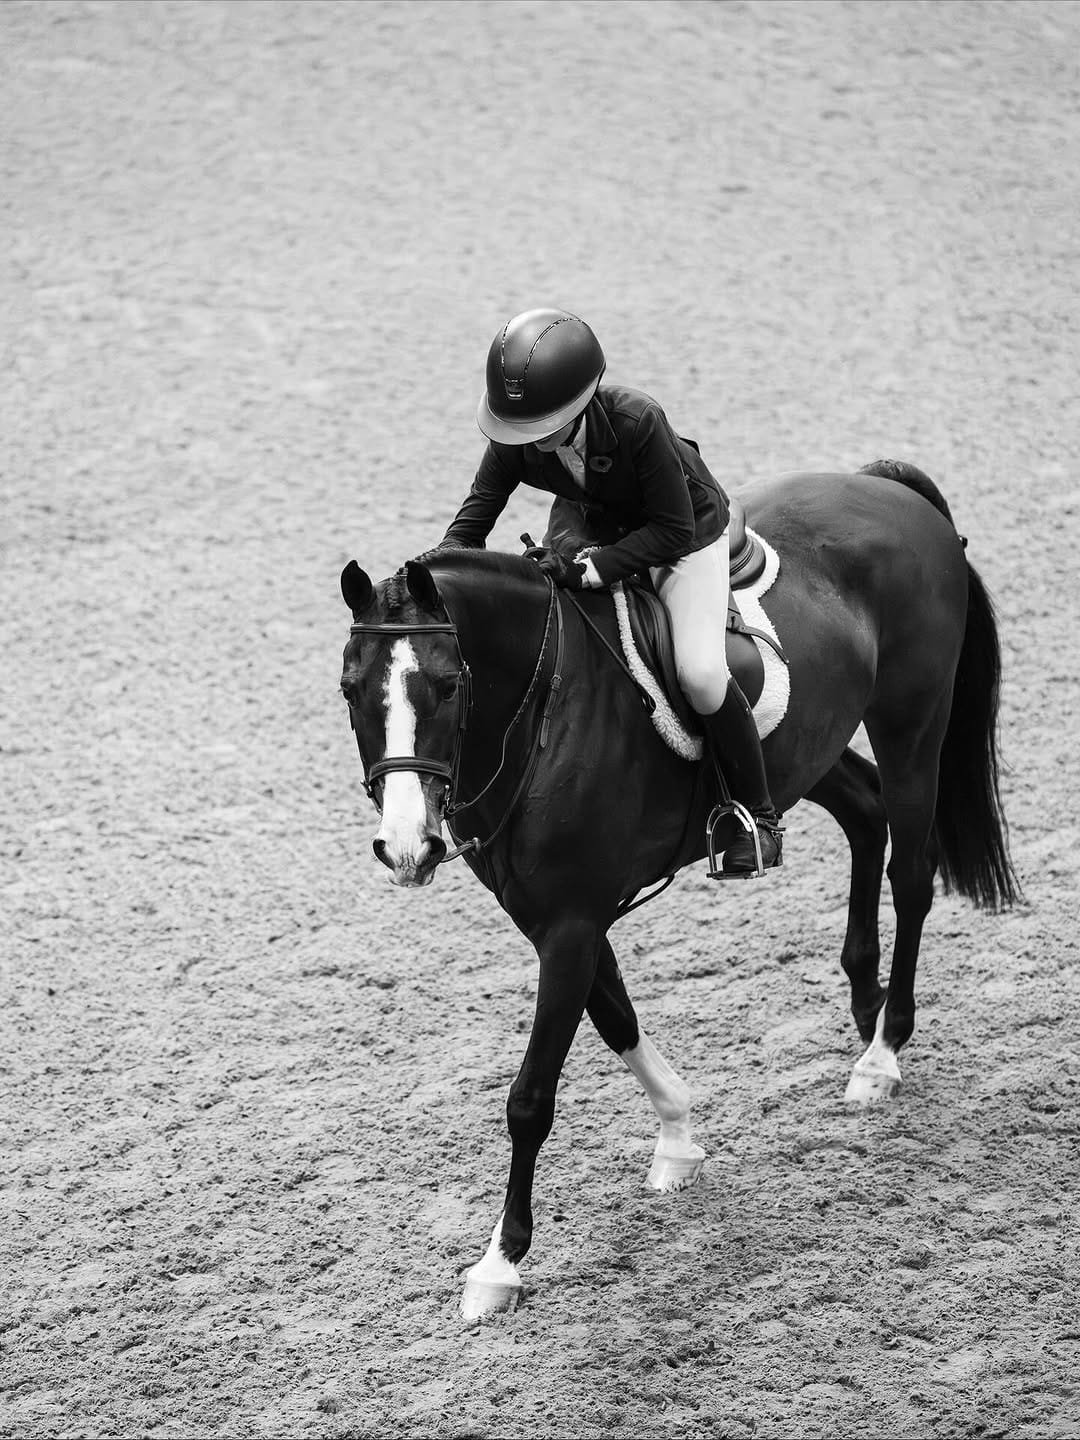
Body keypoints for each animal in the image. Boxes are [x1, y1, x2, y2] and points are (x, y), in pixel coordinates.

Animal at [338, 459, 1018, 1320]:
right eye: (349, 689)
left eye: (451, 684)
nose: (406, 848)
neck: (542, 711)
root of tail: (886, 487)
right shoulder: (558, 917)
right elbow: (617, 1020)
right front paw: (678, 1140)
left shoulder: (569, 923)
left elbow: (531, 1096)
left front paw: (499, 1262)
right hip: (811, 747)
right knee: (865, 816)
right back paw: (863, 1005)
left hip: (912, 726)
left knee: (912, 871)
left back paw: (883, 1052)